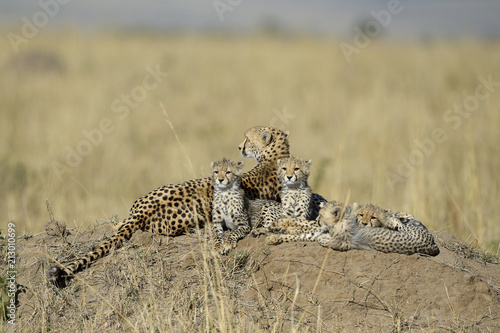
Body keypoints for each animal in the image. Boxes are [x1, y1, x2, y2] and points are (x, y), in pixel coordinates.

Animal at [268, 198, 440, 255]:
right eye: (361, 214)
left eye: (373, 217)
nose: (363, 223)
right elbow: (304, 229)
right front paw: (280, 229)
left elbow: (309, 233)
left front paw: (281, 231)